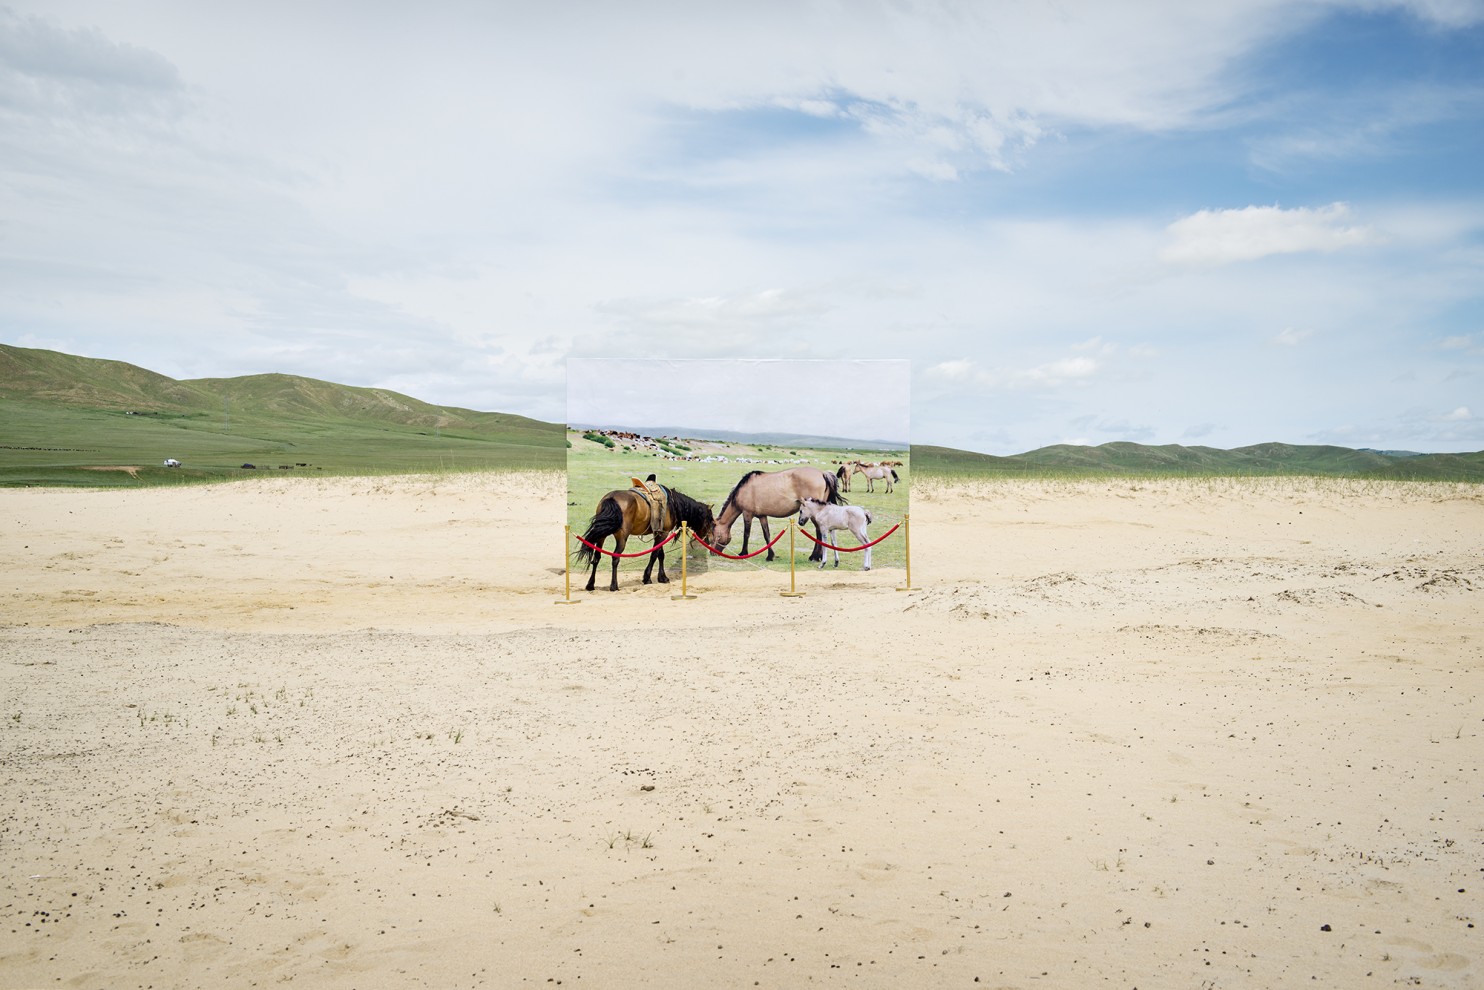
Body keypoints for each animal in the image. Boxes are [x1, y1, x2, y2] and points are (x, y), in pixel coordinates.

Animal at [572, 480, 712, 593]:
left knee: (596, 557)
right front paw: (647, 578)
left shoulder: (659, 532)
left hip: (601, 536)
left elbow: (660, 554)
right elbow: (655, 554)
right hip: (622, 537)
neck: (673, 504)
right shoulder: (664, 533)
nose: (709, 539)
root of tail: (611, 498)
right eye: (711, 521)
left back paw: (590, 585)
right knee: (615, 558)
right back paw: (614, 586)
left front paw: (662, 577)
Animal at [709, 469, 842, 561]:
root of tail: (823, 473)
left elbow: (746, 534)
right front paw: (770, 556)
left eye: (715, 535)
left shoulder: (747, 514)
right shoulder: (762, 516)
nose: (712, 553)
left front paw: (743, 553)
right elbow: (766, 535)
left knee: (819, 532)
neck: (744, 490)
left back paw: (814, 556)